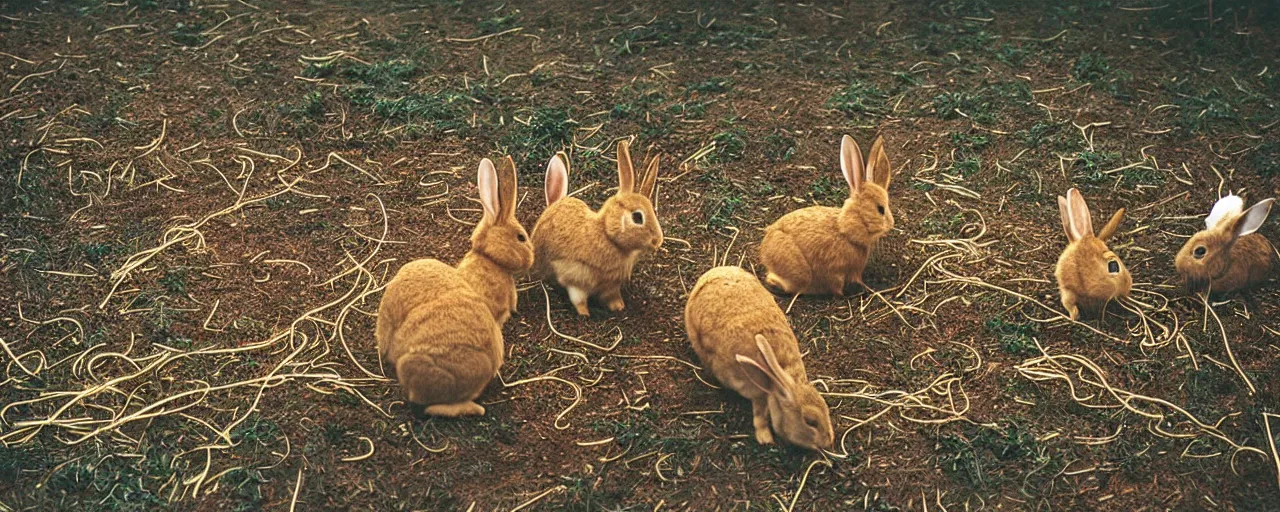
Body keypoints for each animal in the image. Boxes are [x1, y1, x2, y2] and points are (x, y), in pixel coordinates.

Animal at [532, 138, 665, 316]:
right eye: (637, 217)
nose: (658, 241)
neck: (607, 235)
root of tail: (554, 204)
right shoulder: (574, 278)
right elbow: (578, 299)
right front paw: (585, 314)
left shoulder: (611, 285)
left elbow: (612, 297)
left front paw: (619, 307)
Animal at [686, 266, 834, 450]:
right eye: (811, 422)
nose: (829, 441)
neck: (775, 381)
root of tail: (712, 273)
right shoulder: (757, 395)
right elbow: (759, 416)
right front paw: (766, 439)